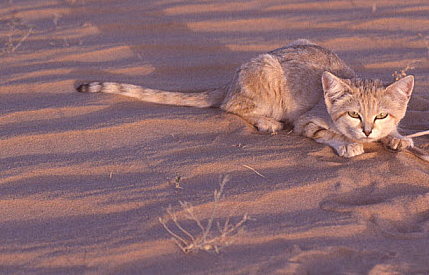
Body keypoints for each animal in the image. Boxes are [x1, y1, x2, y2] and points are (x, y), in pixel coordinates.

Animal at [75, 40, 412, 158]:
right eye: (353, 114)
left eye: (381, 115)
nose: (367, 131)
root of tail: (229, 83)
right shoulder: (306, 121)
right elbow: (327, 133)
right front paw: (348, 143)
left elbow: (393, 133)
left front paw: (396, 138)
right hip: (266, 72)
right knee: (230, 106)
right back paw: (265, 122)